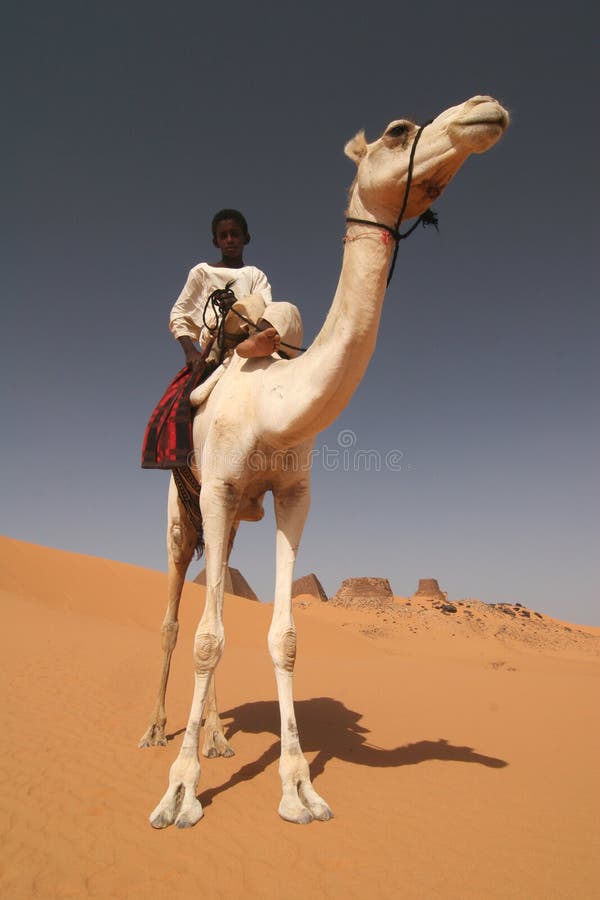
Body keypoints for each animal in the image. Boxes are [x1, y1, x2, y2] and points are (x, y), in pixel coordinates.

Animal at [143, 95, 508, 828]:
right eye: (398, 131)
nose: (484, 110)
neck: (274, 400)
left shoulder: (293, 495)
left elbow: (280, 635)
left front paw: (298, 789)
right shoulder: (219, 488)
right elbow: (204, 638)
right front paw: (180, 793)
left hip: (225, 523)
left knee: (213, 594)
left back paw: (220, 737)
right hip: (182, 511)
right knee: (174, 617)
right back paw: (158, 731)